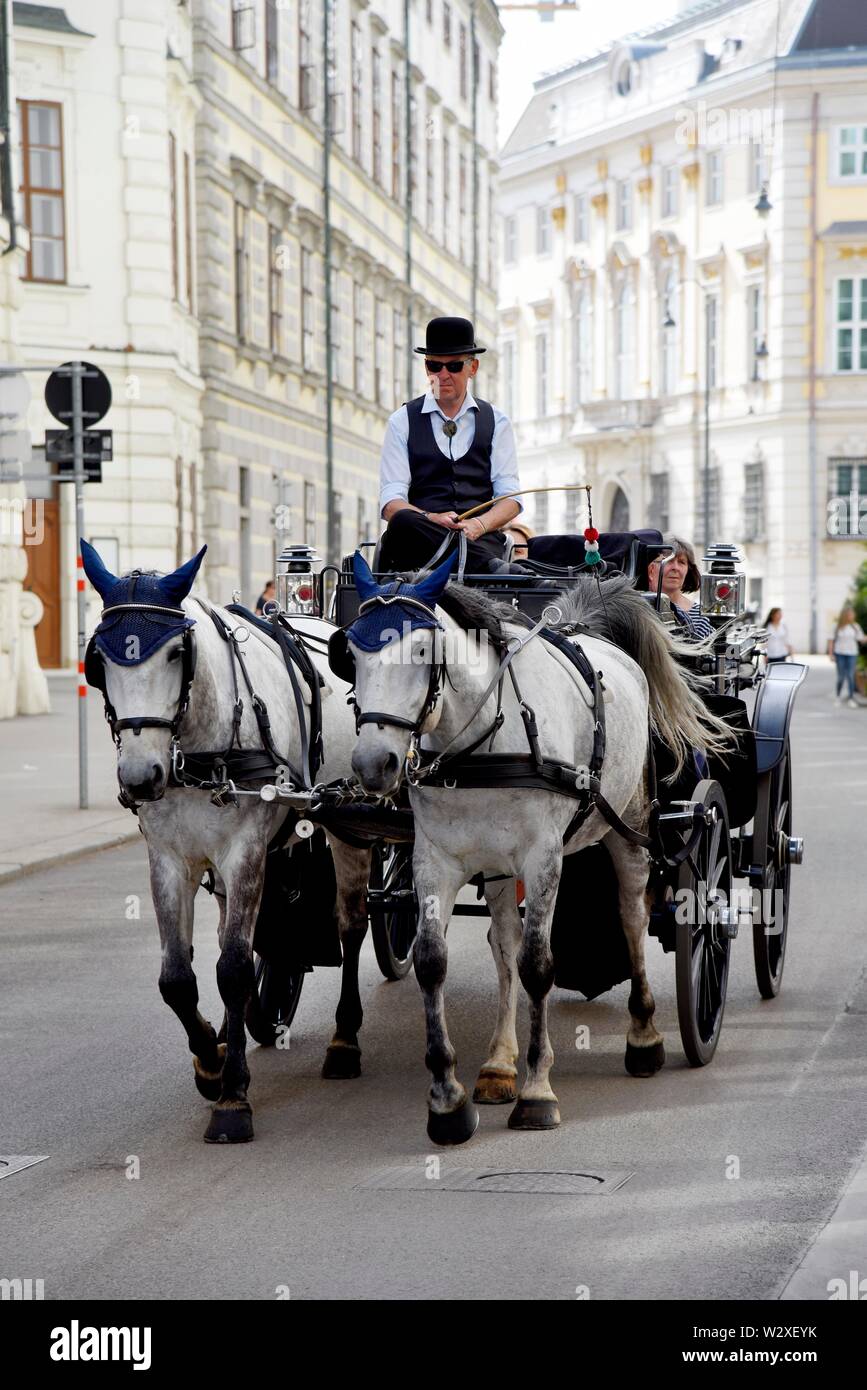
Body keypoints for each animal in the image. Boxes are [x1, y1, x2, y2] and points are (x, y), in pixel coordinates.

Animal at [81, 539, 375, 1139]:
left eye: (176, 653)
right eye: (99, 660)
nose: (140, 777)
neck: (199, 747)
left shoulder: (243, 853)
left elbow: (234, 968)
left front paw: (233, 1097)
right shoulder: (169, 859)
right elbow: (179, 976)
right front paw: (211, 1062)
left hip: (348, 828)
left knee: (351, 926)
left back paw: (344, 1039)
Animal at [345, 547, 733, 1145]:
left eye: (422, 650)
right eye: (350, 653)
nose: (372, 764)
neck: (485, 738)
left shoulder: (543, 857)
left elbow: (537, 965)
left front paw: (536, 1091)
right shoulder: (436, 859)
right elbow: (435, 961)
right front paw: (448, 1099)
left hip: (630, 828)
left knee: (630, 917)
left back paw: (643, 1036)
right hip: (499, 866)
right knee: (502, 941)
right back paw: (499, 1064)